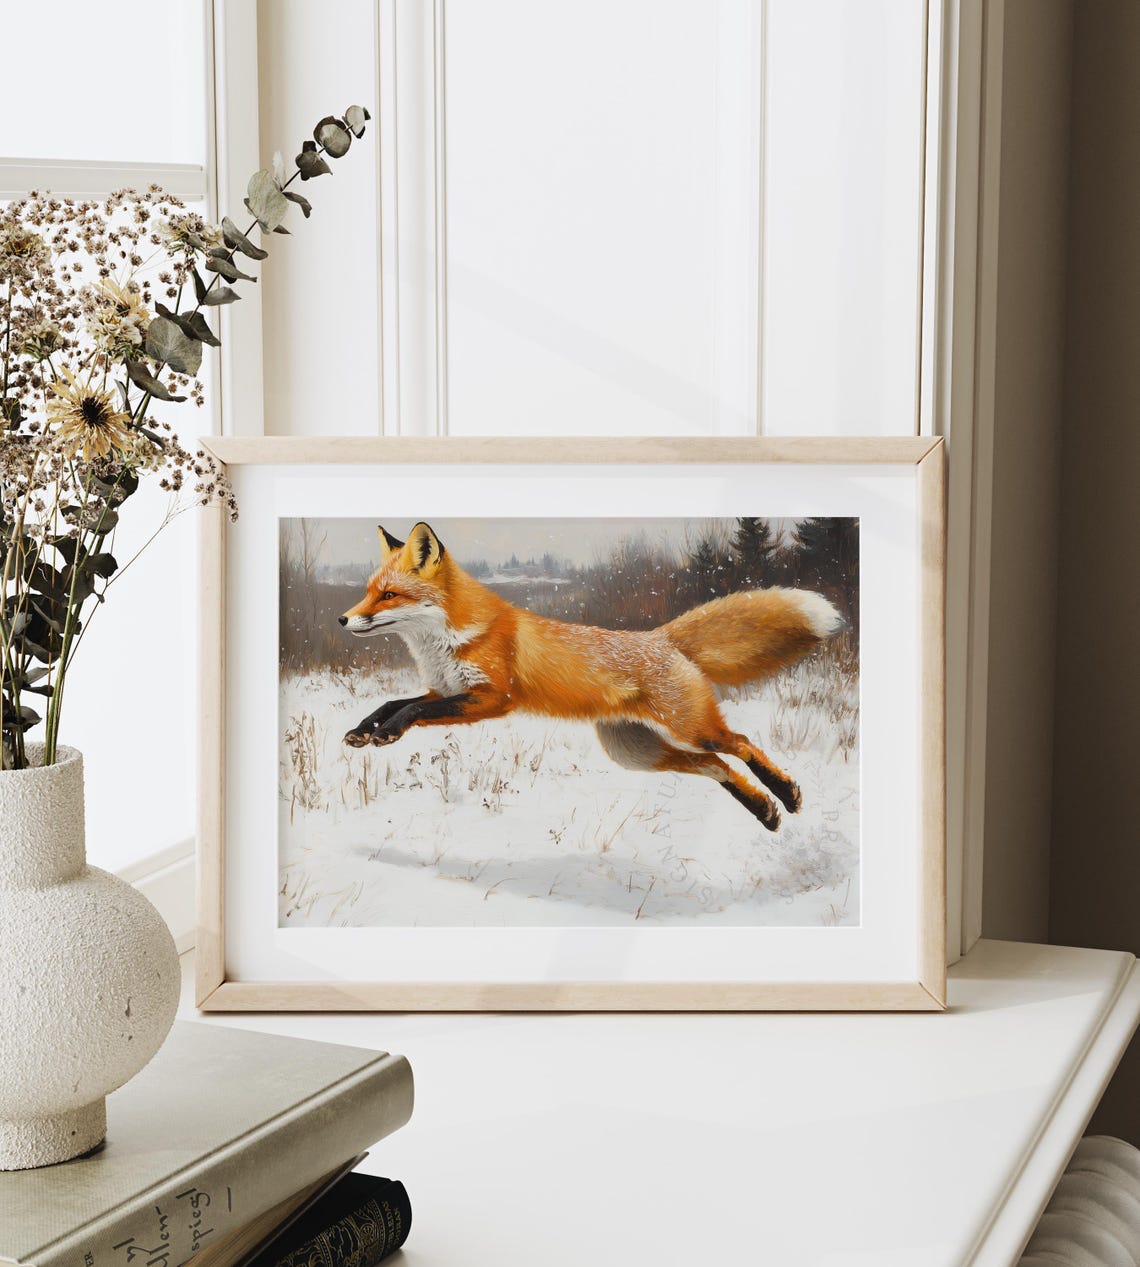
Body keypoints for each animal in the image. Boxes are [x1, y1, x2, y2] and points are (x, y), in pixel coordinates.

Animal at [339, 523, 843, 830]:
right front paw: (364, 730)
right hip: (636, 752)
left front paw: (386, 733)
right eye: (368, 591)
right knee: (714, 765)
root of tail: (660, 636)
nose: (343, 619)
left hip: (689, 728)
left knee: (739, 743)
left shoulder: (492, 698)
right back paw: (766, 812)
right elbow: (394, 703)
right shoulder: (446, 687)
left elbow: (414, 711)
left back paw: (787, 794)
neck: (444, 643)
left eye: (388, 595)